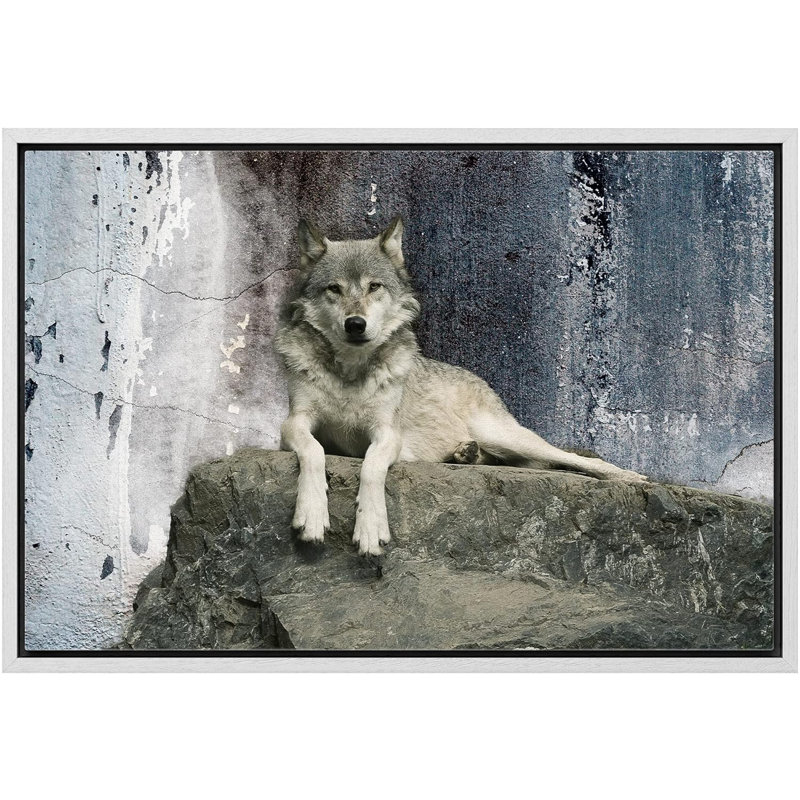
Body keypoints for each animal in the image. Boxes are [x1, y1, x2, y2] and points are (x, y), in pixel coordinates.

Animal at [274, 216, 647, 557]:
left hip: (506, 435)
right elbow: (314, 451)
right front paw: (312, 514)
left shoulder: (387, 433)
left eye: (374, 287)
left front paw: (370, 528)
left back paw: (630, 477)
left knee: (573, 459)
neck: (350, 373)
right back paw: (466, 454)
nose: (355, 324)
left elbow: (371, 467)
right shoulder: (293, 423)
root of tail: (478, 379)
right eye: (334, 289)